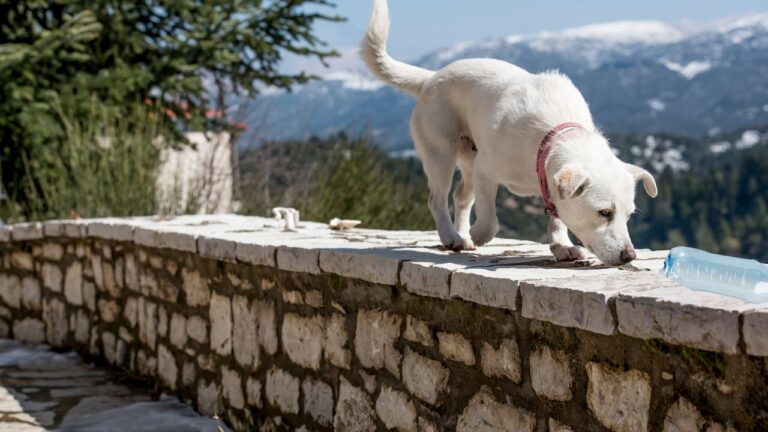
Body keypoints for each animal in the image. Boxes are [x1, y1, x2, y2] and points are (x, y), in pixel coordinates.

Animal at [358, 0, 656, 264]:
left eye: (629, 216)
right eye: (604, 212)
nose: (629, 256)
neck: (549, 137)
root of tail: (430, 78)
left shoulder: (548, 184)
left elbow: (557, 216)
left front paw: (562, 246)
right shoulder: (487, 171)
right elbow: (490, 220)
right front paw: (478, 234)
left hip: (468, 159)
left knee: (460, 196)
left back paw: (461, 234)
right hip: (441, 154)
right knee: (437, 198)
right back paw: (453, 236)